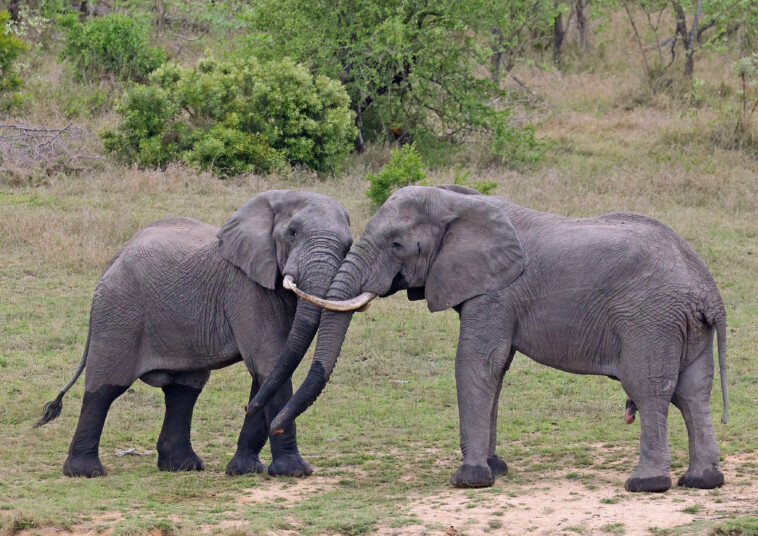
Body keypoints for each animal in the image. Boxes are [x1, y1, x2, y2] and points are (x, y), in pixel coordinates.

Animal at [34, 188, 354, 478]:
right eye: (292, 233)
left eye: (349, 245)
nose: (247, 408)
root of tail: (114, 257)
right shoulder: (246, 289)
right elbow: (270, 363)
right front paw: (295, 472)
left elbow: (271, 371)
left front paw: (245, 470)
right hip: (119, 310)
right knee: (105, 388)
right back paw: (85, 472)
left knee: (184, 389)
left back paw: (182, 466)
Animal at [246, 184, 728, 494]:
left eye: (398, 244)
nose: (271, 422)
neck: (459, 202)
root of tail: (708, 291)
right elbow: (495, 371)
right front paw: (495, 468)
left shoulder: (496, 291)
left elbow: (476, 363)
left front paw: (470, 479)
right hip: (681, 326)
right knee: (693, 393)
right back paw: (701, 481)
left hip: (651, 321)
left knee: (650, 390)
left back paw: (647, 485)